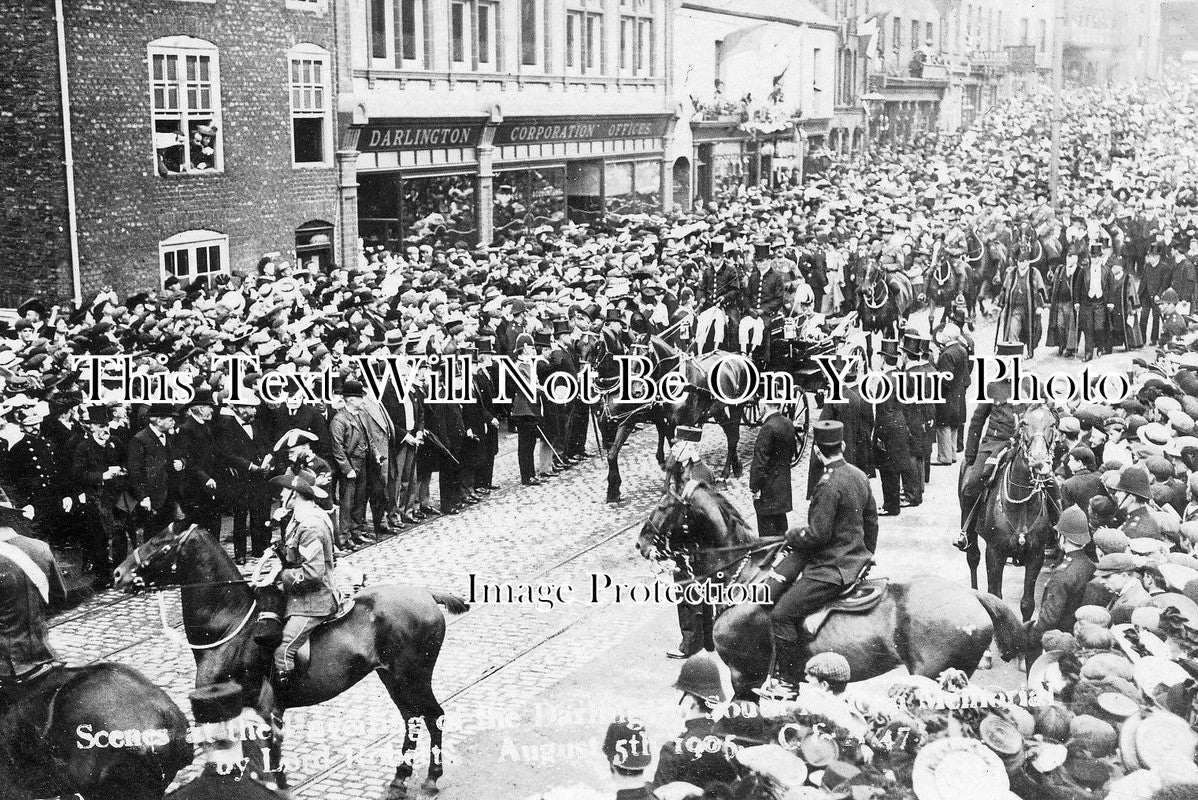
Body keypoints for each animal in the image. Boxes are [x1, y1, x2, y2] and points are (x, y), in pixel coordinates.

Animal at [112, 524, 467, 800]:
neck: (230, 625)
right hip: (392, 678)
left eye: (159, 542)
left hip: (412, 677)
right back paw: (400, 779)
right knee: (413, 720)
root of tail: (426, 595)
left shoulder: (264, 708)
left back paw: (430, 778)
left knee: (433, 717)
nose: (118, 573)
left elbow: (270, 755)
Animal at [963, 402, 1059, 622]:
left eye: (1052, 423)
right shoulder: (994, 553)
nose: (1039, 461)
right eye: (1023, 423)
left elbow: (1027, 603)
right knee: (973, 558)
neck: (1021, 503)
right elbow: (995, 597)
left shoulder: (1036, 555)